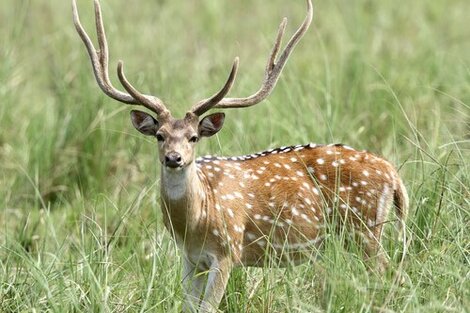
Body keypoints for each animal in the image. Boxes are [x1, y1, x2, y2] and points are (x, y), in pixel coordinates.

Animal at [72, 0, 408, 310]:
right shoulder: (190, 258)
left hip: (364, 228)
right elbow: (188, 307)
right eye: (159, 136)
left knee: (392, 274)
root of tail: (393, 174)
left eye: (194, 137)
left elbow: (208, 307)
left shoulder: (227, 251)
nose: (174, 158)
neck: (195, 220)